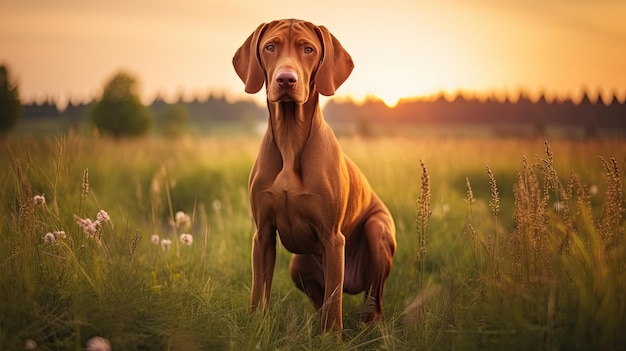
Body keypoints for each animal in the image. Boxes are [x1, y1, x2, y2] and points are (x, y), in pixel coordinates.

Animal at [232, 19, 398, 332]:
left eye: (308, 49)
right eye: (270, 47)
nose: (286, 79)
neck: (289, 138)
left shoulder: (333, 238)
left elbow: (335, 307)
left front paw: (332, 338)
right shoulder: (263, 234)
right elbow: (259, 293)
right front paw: (255, 328)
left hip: (376, 230)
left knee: (373, 302)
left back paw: (369, 329)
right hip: (298, 264)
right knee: (320, 302)